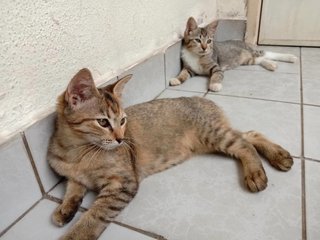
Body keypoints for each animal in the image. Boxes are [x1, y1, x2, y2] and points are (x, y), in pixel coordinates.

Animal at [48, 68, 296, 239]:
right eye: (103, 122)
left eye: (123, 120)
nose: (120, 139)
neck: (77, 153)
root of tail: (202, 99)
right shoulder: (73, 176)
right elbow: (73, 190)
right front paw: (65, 210)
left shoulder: (123, 184)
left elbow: (94, 215)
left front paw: (75, 234)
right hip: (212, 139)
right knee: (250, 134)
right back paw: (280, 156)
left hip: (213, 135)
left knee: (245, 143)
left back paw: (256, 173)